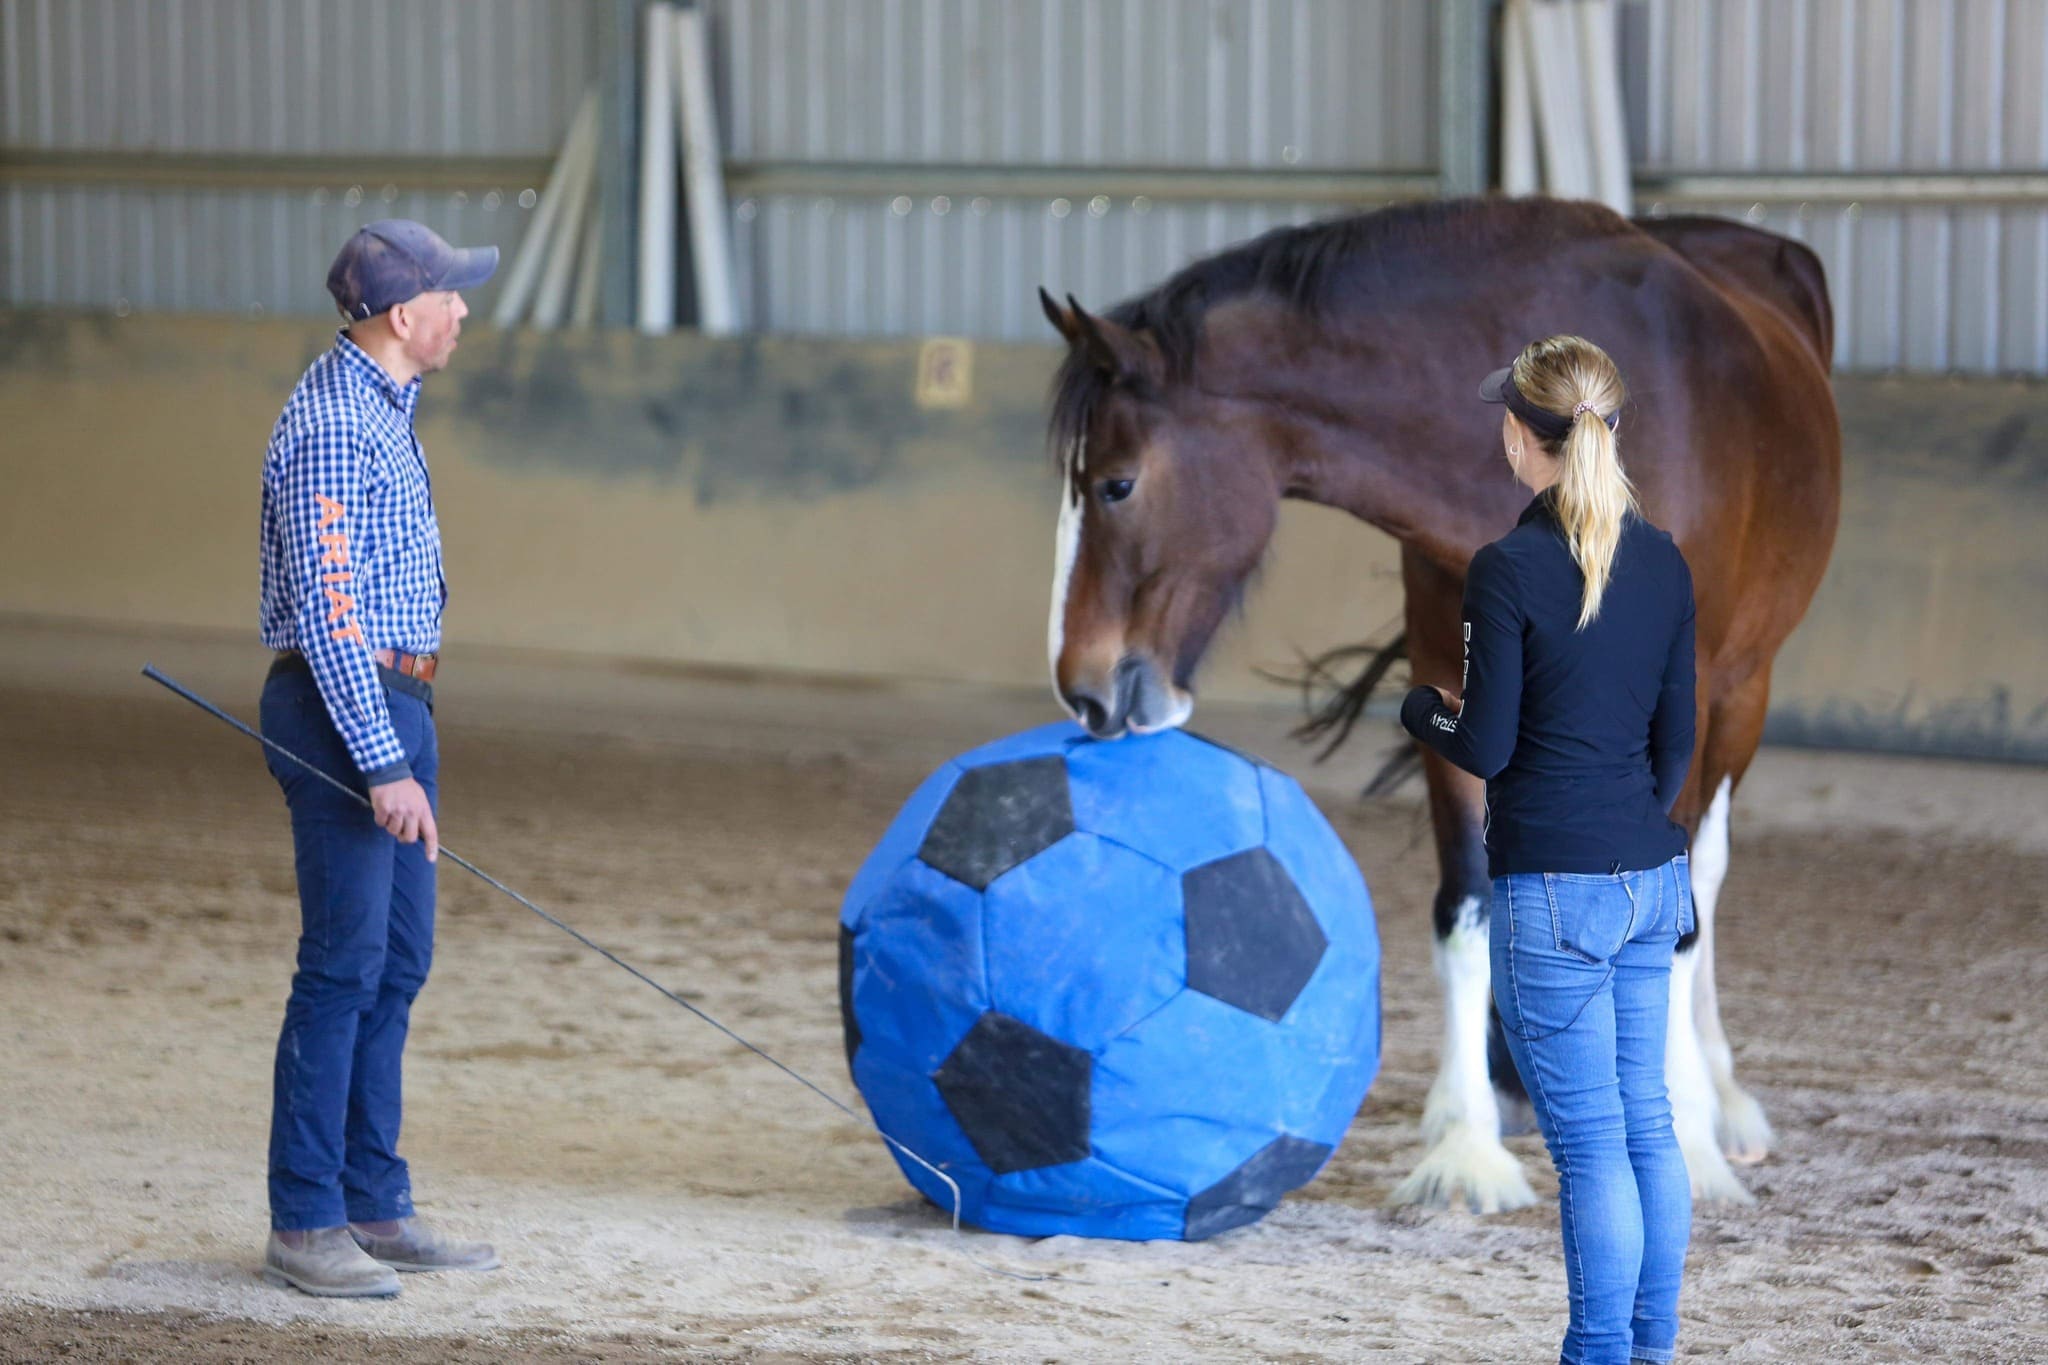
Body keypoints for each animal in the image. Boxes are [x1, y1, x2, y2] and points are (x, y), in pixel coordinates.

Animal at [1039, 196, 1840, 1212]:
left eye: (1116, 483)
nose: (1084, 687)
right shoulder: (1459, 695)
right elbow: (1467, 906)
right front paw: (1467, 1145)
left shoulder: (1680, 713)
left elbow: (1673, 912)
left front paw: (1686, 1136)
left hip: (1742, 697)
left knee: (1704, 872)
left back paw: (1718, 1096)